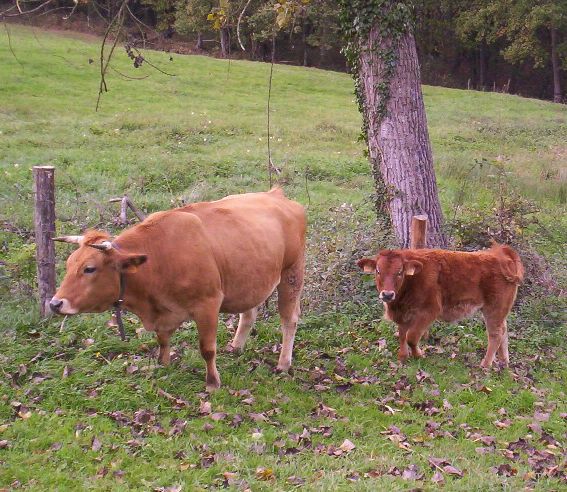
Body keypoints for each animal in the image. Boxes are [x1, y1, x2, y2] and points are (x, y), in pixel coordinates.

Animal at [50, 187, 306, 388]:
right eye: (69, 263)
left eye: (89, 269)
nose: (54, 303)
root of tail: (275, 194)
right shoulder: (163, 313)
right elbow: (162, 341)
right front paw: (163, 366)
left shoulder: (208, 304)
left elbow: (207, 349)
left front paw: (213, 382)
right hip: (249, 279)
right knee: (249, 314)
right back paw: (236, 348)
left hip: (292, 274)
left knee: (289, 320)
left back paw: (283, 363)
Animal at [358, 244, 524, 368]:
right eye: (378, 271)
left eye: (400, 272)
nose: (387, 295)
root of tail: (501, 254)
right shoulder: (404, 314)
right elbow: (402, 334)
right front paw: (403, 356)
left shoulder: (429, 311)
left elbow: (411, 337)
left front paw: (419, 355)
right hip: (500, 310)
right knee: (504, 330)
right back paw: (503, 361)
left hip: (494, 308)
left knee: (496, 333)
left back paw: (485, 364)